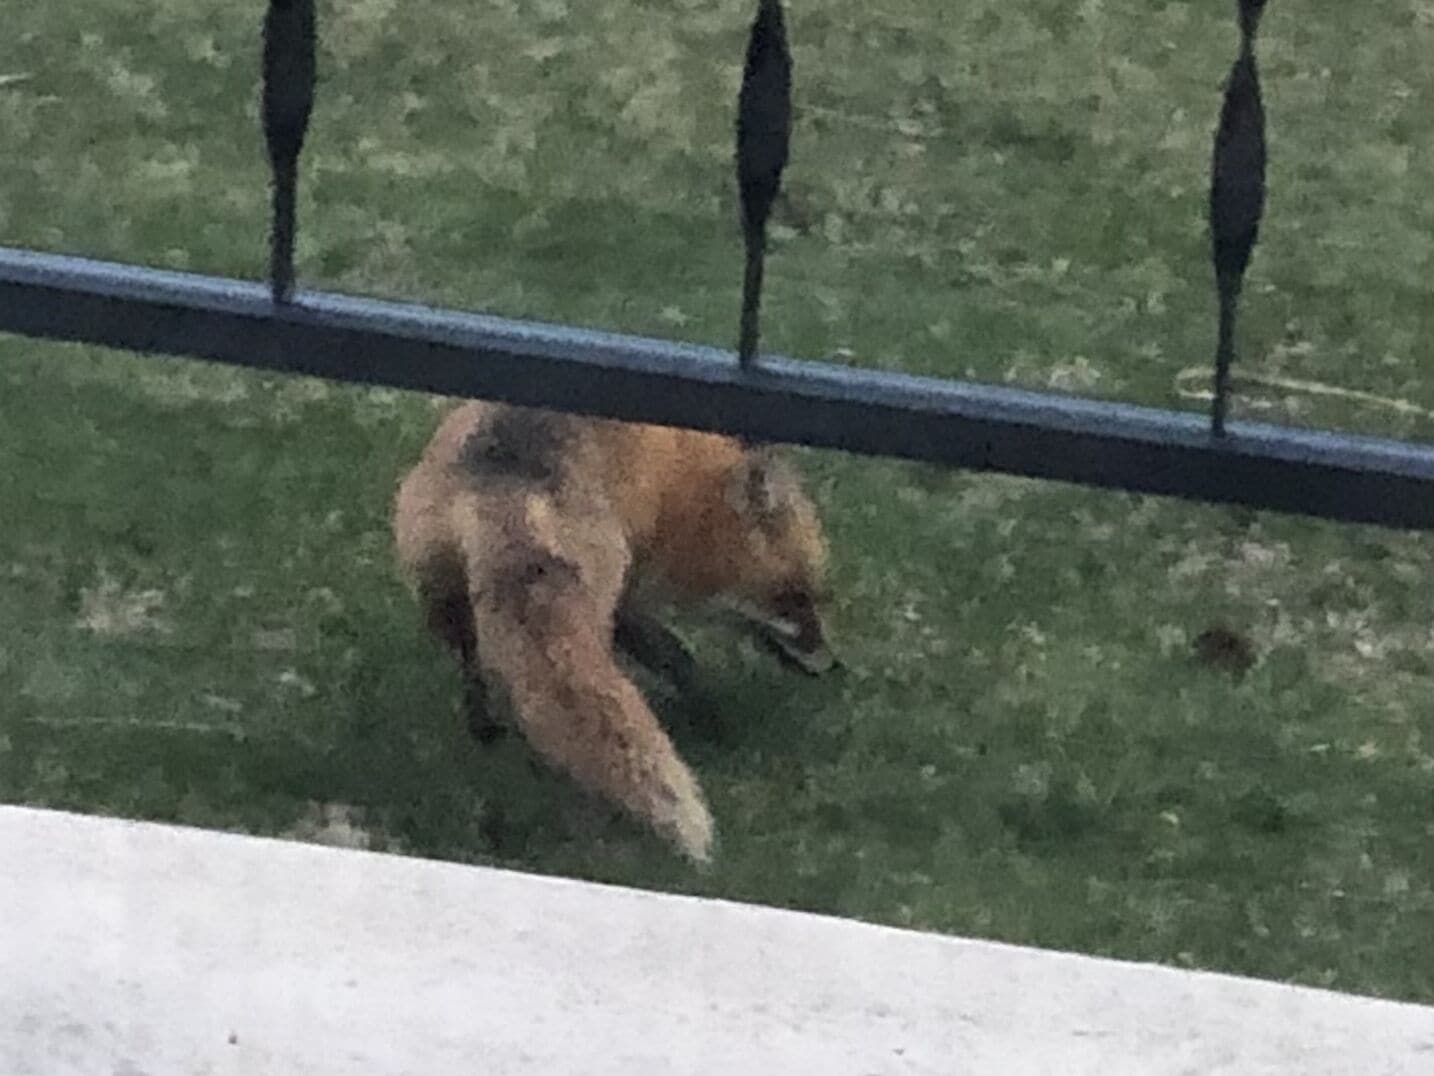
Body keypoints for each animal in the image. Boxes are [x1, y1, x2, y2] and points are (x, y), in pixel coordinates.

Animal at [392, 399, 837, 865]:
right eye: (795, 597)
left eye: (814, 596)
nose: (832, 665)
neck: (674, 483)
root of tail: (506, 469)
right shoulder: (628, 584)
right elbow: (676, 656)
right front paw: (710, 720)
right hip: (587, 603)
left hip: (448, 602)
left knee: (477, 672)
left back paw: (487, 735)